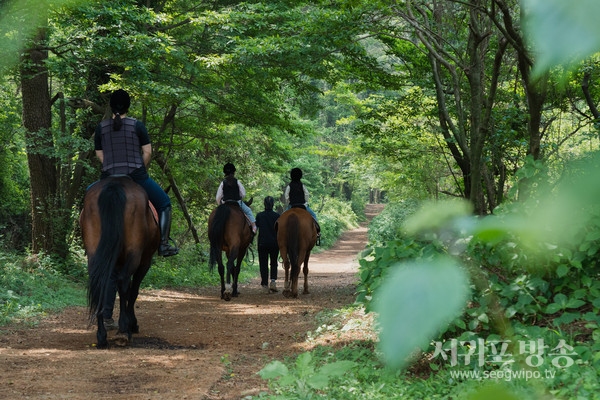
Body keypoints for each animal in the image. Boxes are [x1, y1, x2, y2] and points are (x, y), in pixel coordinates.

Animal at [79, 177, 159, 348]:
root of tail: (114, 185)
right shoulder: (145, 261)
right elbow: (133, 291)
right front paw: (132, 323)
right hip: (134, 254)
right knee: (124, 284)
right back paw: (123, 330)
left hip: (95, 253)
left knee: (100, 283)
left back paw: (101, 335)